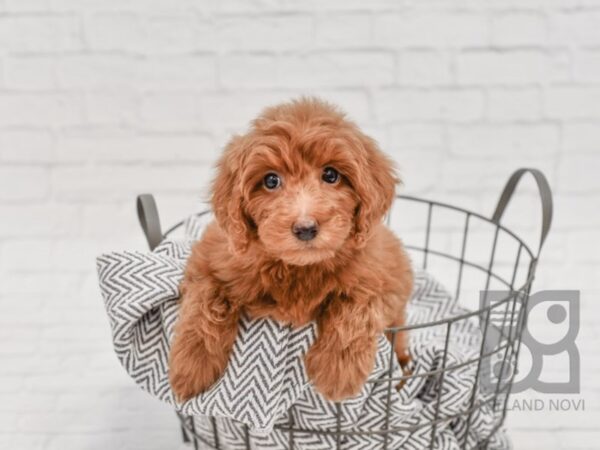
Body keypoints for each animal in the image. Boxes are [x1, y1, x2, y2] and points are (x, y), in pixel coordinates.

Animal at [169, 97, 412, 400]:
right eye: (271, 181)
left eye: (330, 174)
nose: (305, 227)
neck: (297, 268)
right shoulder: (209, 259)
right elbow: (206, 301)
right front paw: (191, 367)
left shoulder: (383, 276)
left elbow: (357, 308)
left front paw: (337, 371)